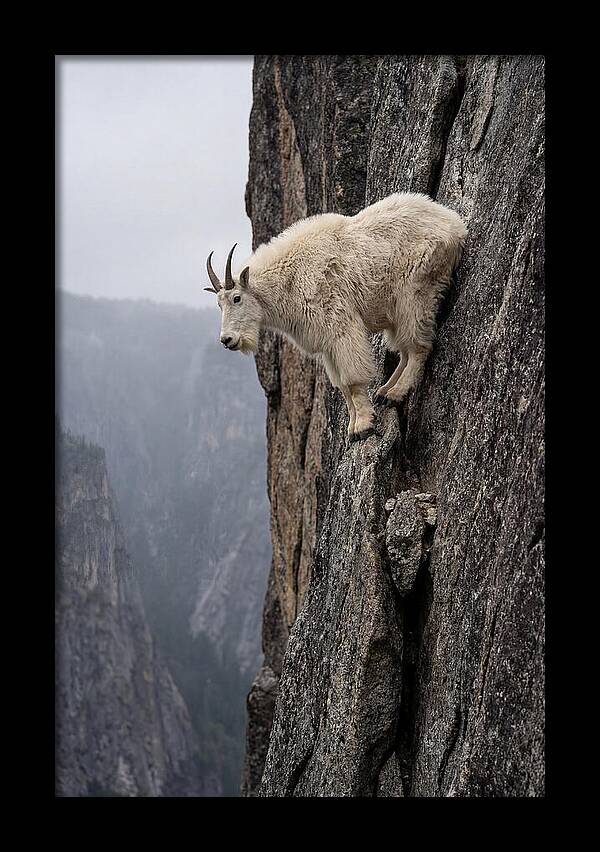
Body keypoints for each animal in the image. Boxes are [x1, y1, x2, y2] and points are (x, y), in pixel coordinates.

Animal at [204, 192, 467, 440]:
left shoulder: (340, 326)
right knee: (404, 349)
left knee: (418, 346)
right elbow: (341, 386)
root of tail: (455, 224)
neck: (290, 279)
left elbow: (352, 380)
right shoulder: (327, 345)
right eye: (218, 304)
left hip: (415, 293)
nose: (227, 340)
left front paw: (363, 426)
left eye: (237, 298)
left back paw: (395, 394)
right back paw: (384, 391)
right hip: (395, 310)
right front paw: (352, 427)